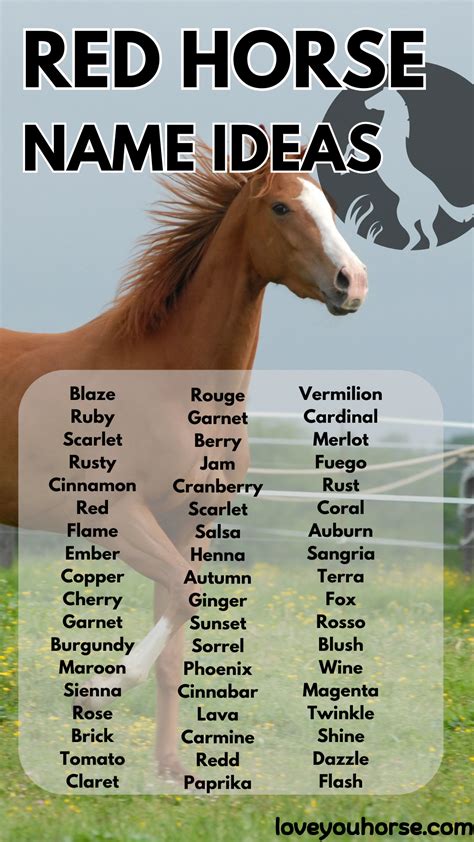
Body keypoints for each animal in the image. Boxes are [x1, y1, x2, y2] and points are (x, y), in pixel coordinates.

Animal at [0, 144, 367, 781]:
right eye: (281, 207)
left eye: (330, 206)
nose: (353, 282)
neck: (170, 386)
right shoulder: (118, 515)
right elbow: (182, 595)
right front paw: (95, 691)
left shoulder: (187, 521)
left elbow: (176, 634)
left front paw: (172, 767)